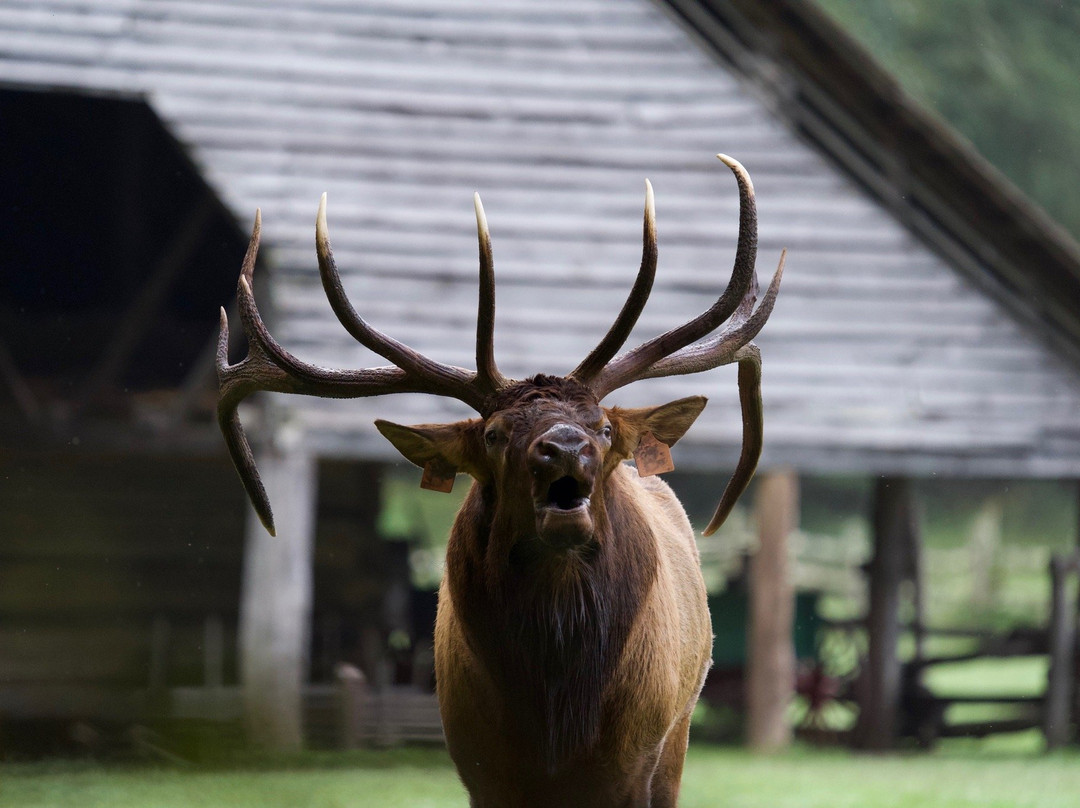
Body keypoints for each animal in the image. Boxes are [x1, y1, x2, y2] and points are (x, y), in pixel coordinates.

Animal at [214, 156, 781, 808]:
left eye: (603, 427)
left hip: (678, 739)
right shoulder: (481, 766)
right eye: (492, 433)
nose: (565, 446)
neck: (558, 717)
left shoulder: (640, 760)